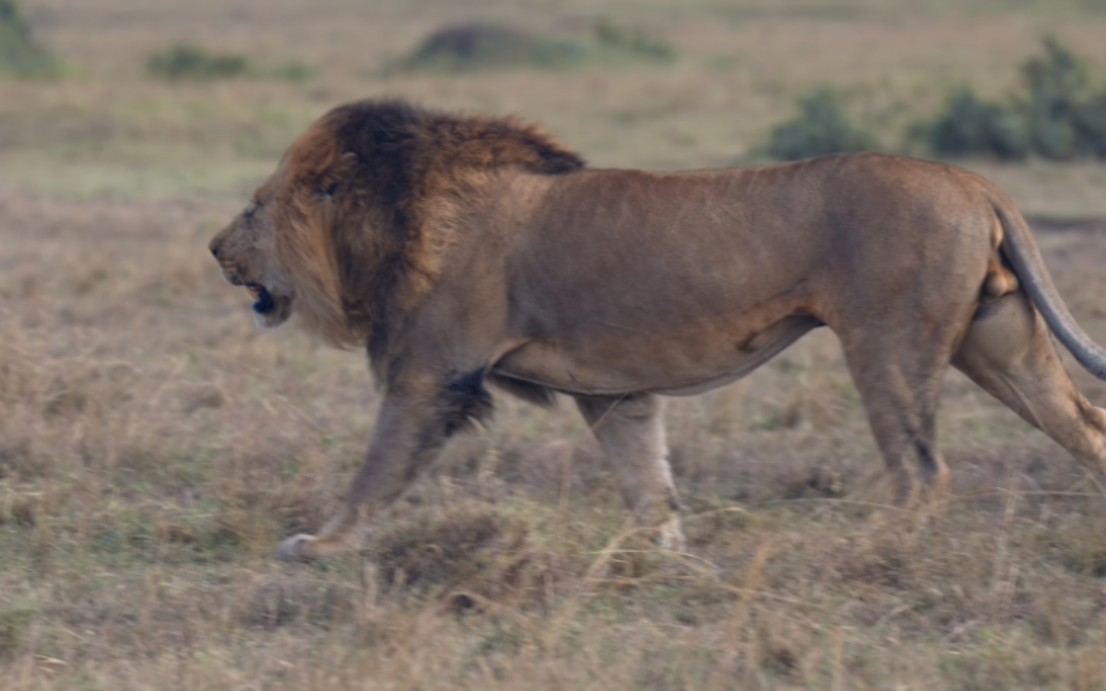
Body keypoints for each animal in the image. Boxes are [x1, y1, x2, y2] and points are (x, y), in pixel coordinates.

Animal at [209, 98, 1106, 561]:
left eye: (255, 207)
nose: (214, 248)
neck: (390, 220)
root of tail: (976, 182)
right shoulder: (615, 393)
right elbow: (647, 479)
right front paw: (665, 555)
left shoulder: (432, 372)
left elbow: (377, 470)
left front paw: (320, 545)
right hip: (998, 343)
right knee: (1088, 425)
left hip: (887, 345)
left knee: (922, 471)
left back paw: (875, 551)